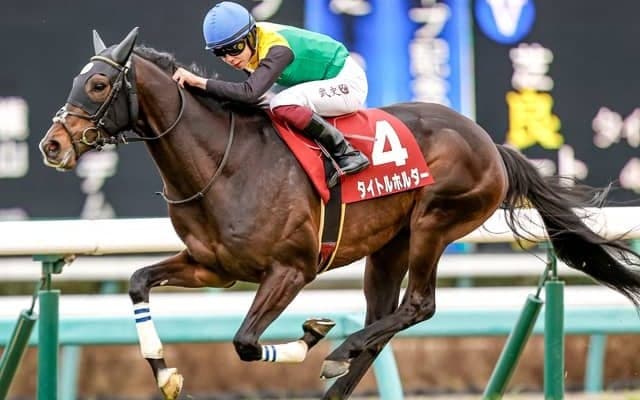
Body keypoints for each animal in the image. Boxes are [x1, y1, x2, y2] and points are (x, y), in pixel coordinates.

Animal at [39, 27, 640, 400]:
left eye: (98, 83)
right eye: (73, 80)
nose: (51, 145)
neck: (224, 164)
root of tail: (491, 143)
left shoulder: (292, 268)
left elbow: (245, 343)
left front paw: (311, 335)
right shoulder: (214, 267)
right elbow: (138, 281)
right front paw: (164, 372)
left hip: (434, 222)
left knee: (417, 306)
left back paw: (338, 352)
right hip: (389, 247)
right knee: (384, 320)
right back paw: (339, 378)